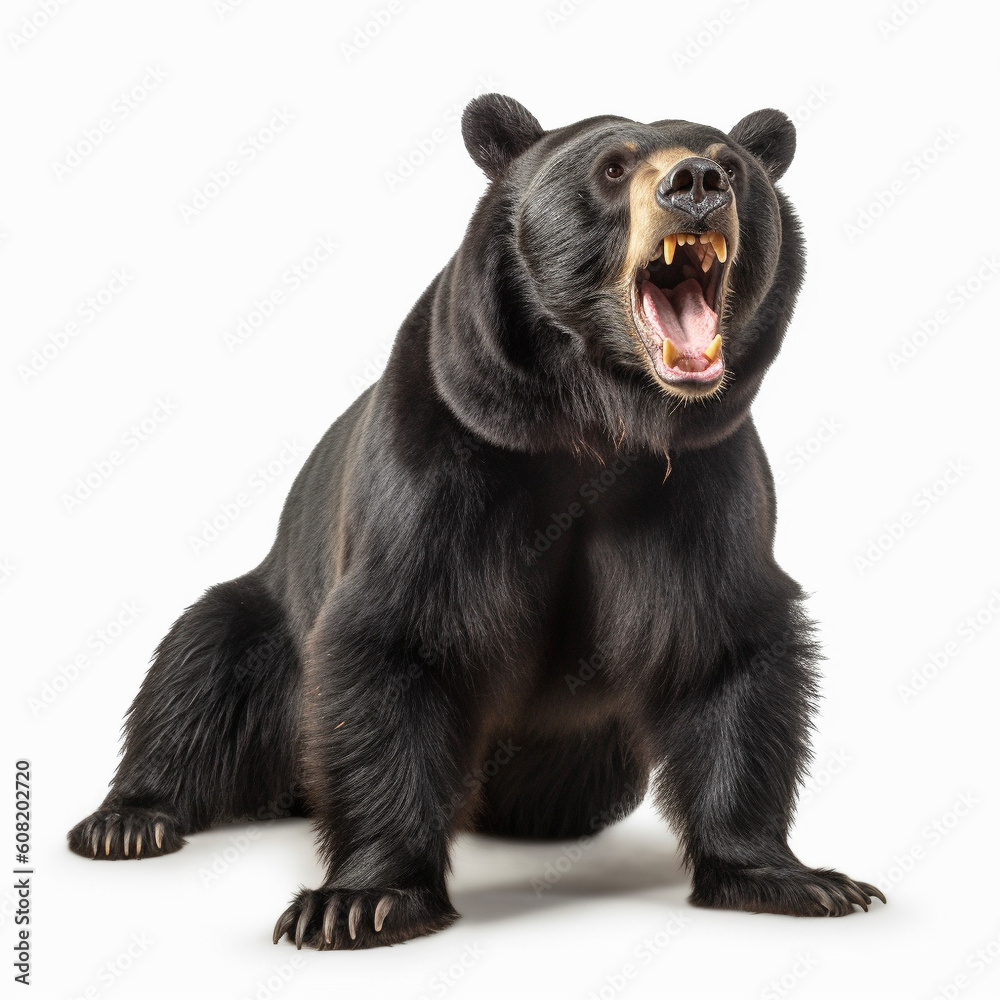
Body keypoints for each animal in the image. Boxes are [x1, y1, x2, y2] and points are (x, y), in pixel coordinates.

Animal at [68, 94, 885, 949]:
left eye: (730, 164)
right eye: (613, 166)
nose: (696, 185)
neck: (598, 426)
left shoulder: (699, 481)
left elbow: (725, 647)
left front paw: (796, 879)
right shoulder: (448, 456)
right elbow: (398, 640)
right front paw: (360, 899)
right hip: (269, 623)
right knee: (198, 666)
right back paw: (129, 819)